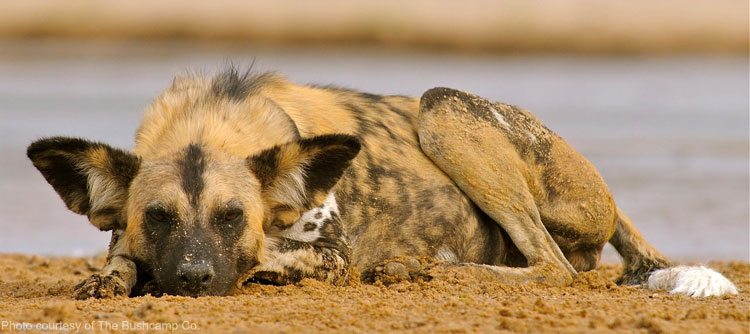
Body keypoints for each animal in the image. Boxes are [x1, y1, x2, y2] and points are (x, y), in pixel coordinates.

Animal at [27, 68, 740, 298]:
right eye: (160, 218)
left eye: (233, 218)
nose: (195, 278)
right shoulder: (130, 230)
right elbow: (118, 257)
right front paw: (109, 280)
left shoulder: (330, 252)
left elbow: (268, 255)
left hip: (442, 108)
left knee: (555, 268)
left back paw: (426, 268)